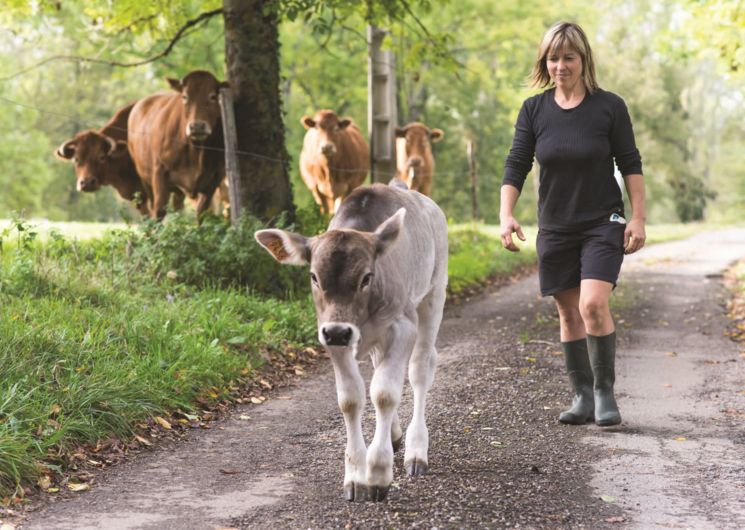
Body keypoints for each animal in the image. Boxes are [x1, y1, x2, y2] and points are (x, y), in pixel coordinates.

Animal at [127, 70, 227, 219]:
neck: (194, 152)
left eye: (213, 96)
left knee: (178, 207)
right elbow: (159, 210)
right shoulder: (159, 173)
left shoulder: (215, 178)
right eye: (185, 97)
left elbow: (203, 213)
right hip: (144, 177)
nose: (197, 126)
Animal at [254, 183, 448, 500]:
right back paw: (394, 435)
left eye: (366, 277)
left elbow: (384, 393)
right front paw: (356, 475)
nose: (338, 332)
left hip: (434, 293)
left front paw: (378, 472)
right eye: (314, 276)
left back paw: (416, 450)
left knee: (421, 368)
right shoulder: (331, 336)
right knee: (380, 364)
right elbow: (350, 399)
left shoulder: (402, 325)